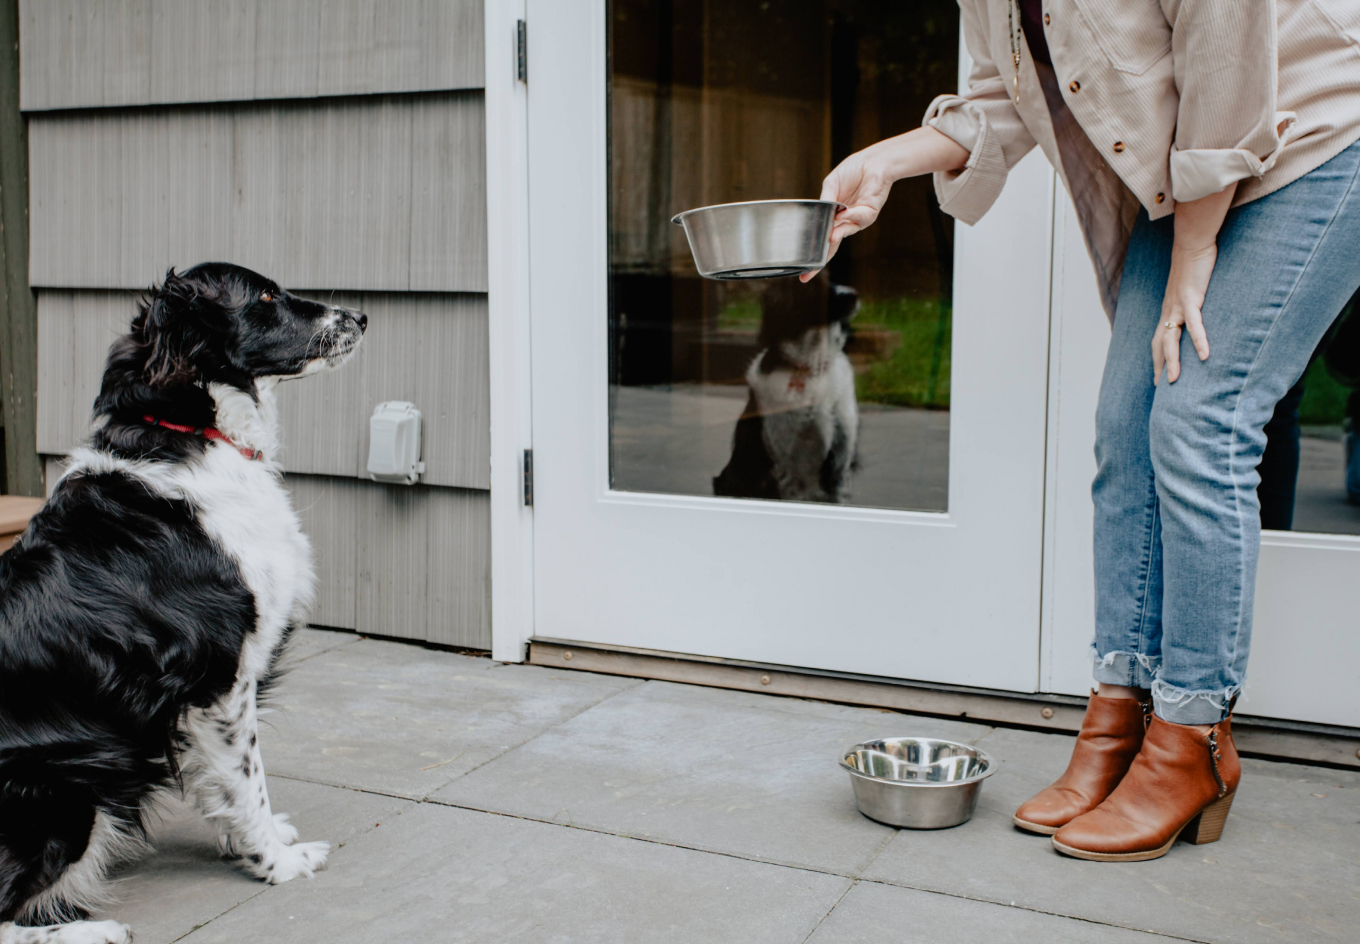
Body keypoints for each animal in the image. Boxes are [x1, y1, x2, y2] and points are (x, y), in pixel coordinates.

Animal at [0, 261, 367, 944]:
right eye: (266, 296)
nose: (359, 316)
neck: (190, 431)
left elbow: (220, 783)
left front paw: (255, 844)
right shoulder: (220, 681)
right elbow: (248, 780)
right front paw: (277, 863)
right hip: (64, 790)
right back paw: (93, 931)